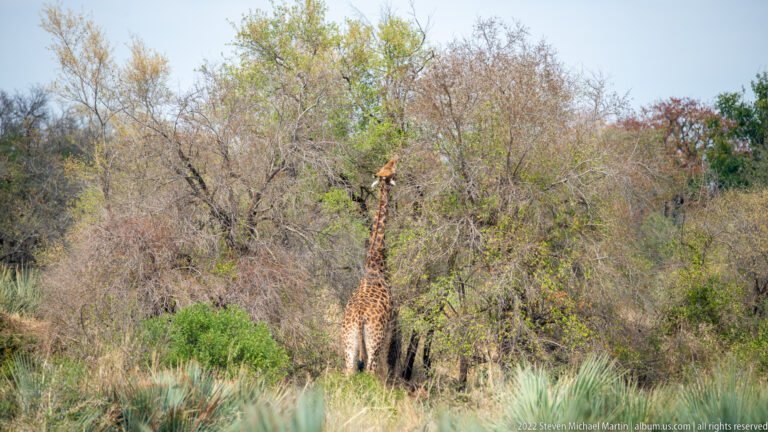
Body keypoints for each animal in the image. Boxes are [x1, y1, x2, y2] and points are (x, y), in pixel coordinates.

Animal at [341, 156, 399, 376]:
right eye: (391, 168)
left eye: (387, 165)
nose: (396, 157)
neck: (375, 264)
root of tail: (358, 319)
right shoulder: (391, 326)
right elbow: (385, 367)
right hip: (374, 340)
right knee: (372, 371)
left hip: (349, 344)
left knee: (349, 372)